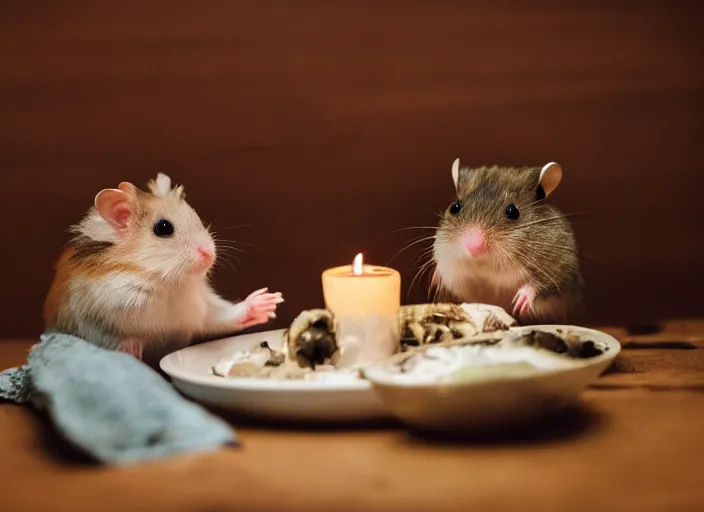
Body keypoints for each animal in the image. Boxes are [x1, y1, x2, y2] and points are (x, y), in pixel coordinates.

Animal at [42, 174, 280, 362]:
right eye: (163, 228)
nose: (209, 254)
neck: (165, 282)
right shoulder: (94, 319)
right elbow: (118, 338)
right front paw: (130, 350)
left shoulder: (198, 310)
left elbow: (224, 315)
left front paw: (267, 302)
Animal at [432, 158, 584, 324]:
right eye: (455, 207)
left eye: (513, 212)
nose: (474, 248)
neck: (483, 264)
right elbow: (441, 265)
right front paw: (435, 281)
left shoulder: (558, 271)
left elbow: (538, 285)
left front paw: (519, 302)